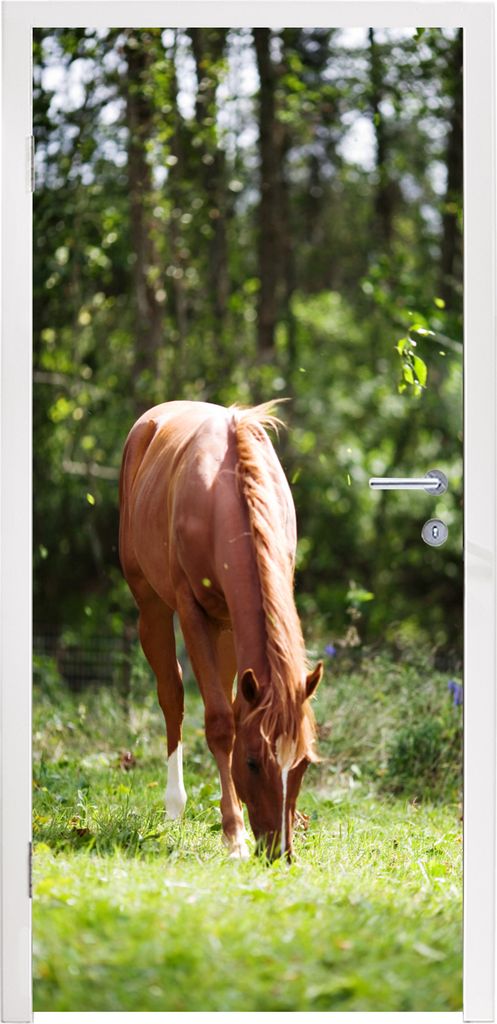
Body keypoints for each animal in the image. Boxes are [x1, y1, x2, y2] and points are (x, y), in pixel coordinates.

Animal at [119, 400, 323, 860]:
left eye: (303, 763)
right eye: (252, 762)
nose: (280, 852)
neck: (225, 496)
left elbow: (231, 710)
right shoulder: (193, 612)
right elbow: (218, 723)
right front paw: (234, 836)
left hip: (227, 626)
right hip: (152, 607)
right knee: (172, 694)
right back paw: (175, 807)